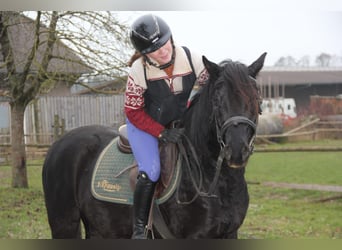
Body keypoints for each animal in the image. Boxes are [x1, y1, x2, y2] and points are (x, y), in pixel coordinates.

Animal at [42, 52, 268, 238]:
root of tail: (58, 144)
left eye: (256, 98)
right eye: (217, 101)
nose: (236, 150)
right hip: (65, 225)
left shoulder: (229, 234)